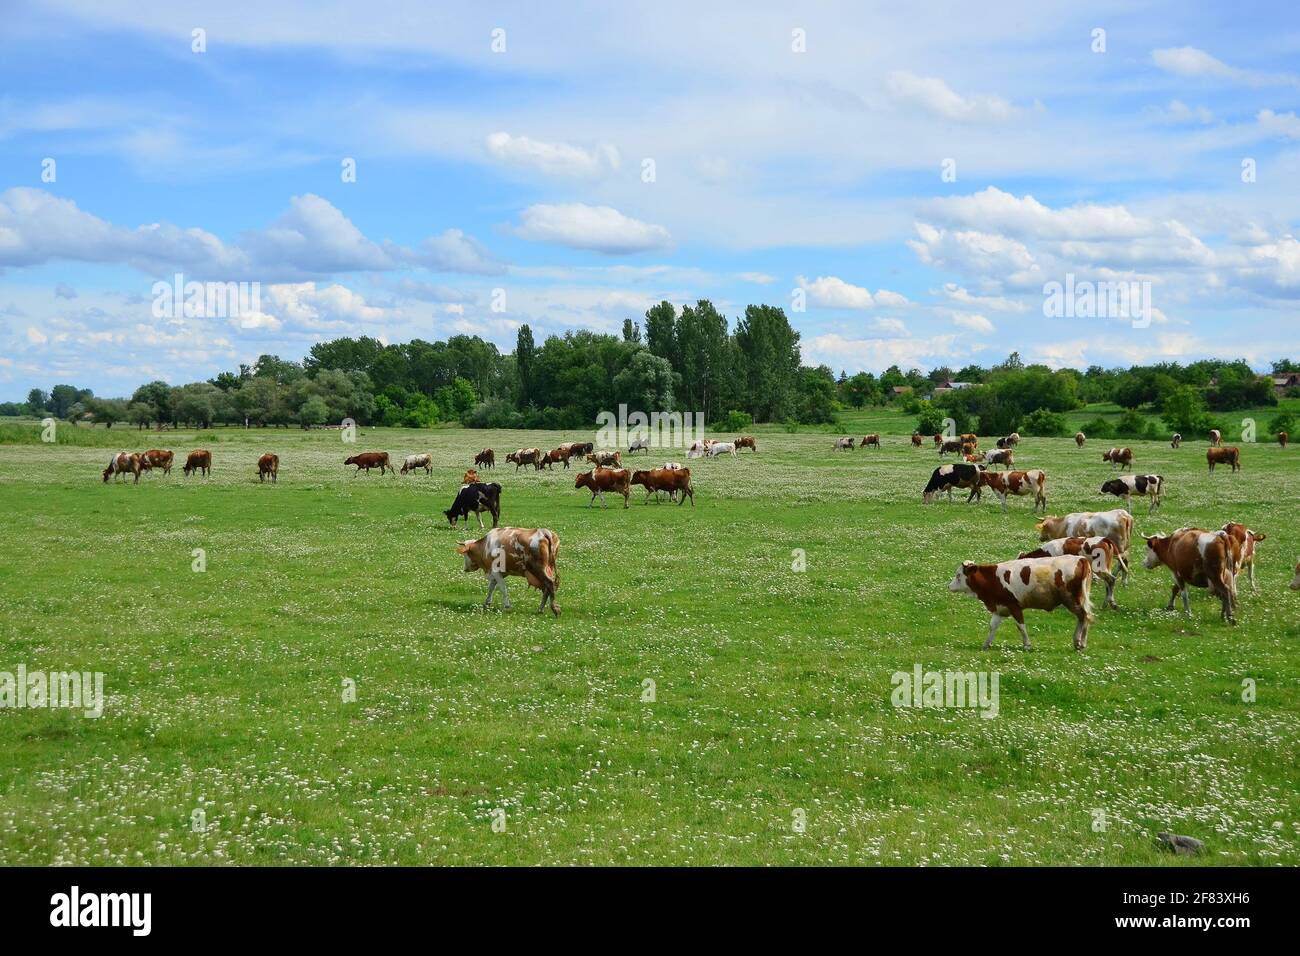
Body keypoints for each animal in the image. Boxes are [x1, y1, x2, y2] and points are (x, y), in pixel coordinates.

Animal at [948, 555, 1095, 651]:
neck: (992, 578)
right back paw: (1080, 642)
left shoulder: (1014, 606)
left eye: (958, 575)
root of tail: (1081, 559)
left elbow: (1021, 626)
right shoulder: (1000, 608)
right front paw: (986, 644)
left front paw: (1027, 645)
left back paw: (1079, 642)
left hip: (1072, 599)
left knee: (1084, 616)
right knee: (1084, 617)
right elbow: (992, 626)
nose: (949, 586)